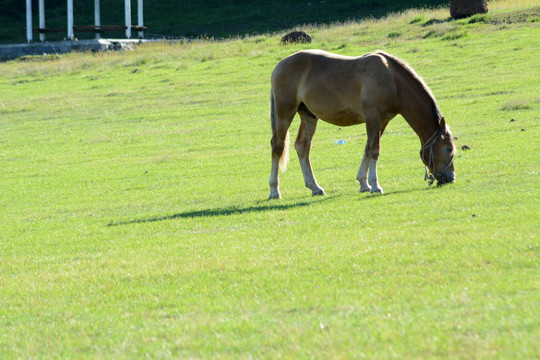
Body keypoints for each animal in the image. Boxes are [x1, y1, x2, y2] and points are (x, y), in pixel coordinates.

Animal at [268, 48, 454, 198]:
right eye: (449, 149)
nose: (451, 178)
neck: (392, 80)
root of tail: (279, 66)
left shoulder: (382, 120)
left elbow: (367, 148)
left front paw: (364, 183)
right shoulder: (373, 117)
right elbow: (374, 150)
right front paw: (375, 185)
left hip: (309, 116)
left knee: (303, 147)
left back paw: (315, 187)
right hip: (285, 113)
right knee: (277, 146)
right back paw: (274, 191)